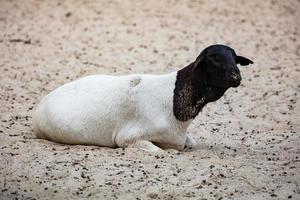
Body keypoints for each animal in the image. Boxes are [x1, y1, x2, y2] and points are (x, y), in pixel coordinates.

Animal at [32, 44, 253, 152]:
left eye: (235, 59)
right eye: (214, 58)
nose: (236, 77)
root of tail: (42, 103)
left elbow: (191, 143)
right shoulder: (127, 138)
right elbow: (159, 151)